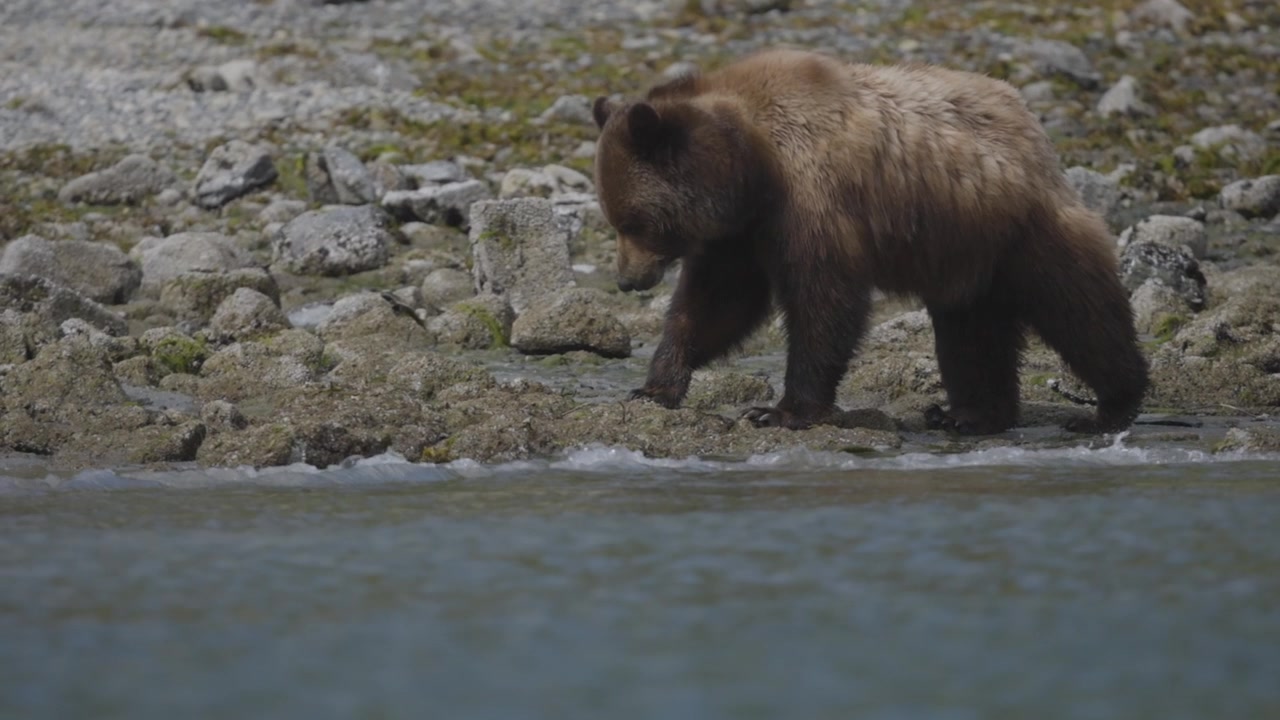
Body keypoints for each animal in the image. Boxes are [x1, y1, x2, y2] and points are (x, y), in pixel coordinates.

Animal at [590, 48, 1149, 435]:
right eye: (613, 218)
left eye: (635, 221)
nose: (626, 280)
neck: (751, 163)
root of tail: (1034, 127)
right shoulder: (742, 234)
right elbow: (715, 303)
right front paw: (655, 386)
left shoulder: (813, 199)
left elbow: (825, 302)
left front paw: (780, 411)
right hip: (967, 252)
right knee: (971, 331)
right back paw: (969, 414)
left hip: (1022, 230)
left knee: (1080, 312)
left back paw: (1110, 406)